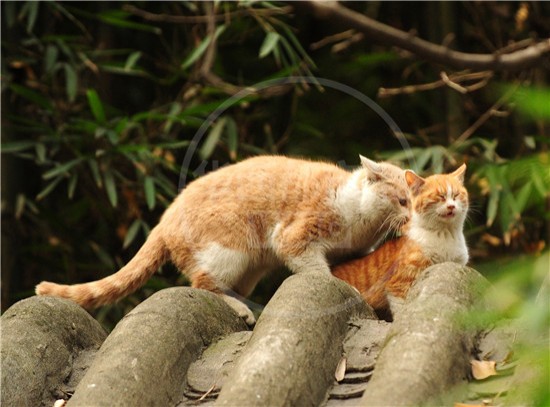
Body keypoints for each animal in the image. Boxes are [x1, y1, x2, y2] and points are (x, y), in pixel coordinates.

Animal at [35, 155, 414, 324]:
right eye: (403, 201)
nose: (412, 220)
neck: (362, 221)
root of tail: (163, 220)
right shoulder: (294, 237)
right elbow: (317, 270)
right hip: (232, 247)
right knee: (203, 283)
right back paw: (241, 310)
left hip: (249, 268)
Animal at [332, 163, 470, 322]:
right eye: (439, 197)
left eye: (456, 195)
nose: (451, 206)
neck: (445, 235)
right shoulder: (398, 284)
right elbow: (403, 310)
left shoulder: (455, 266)